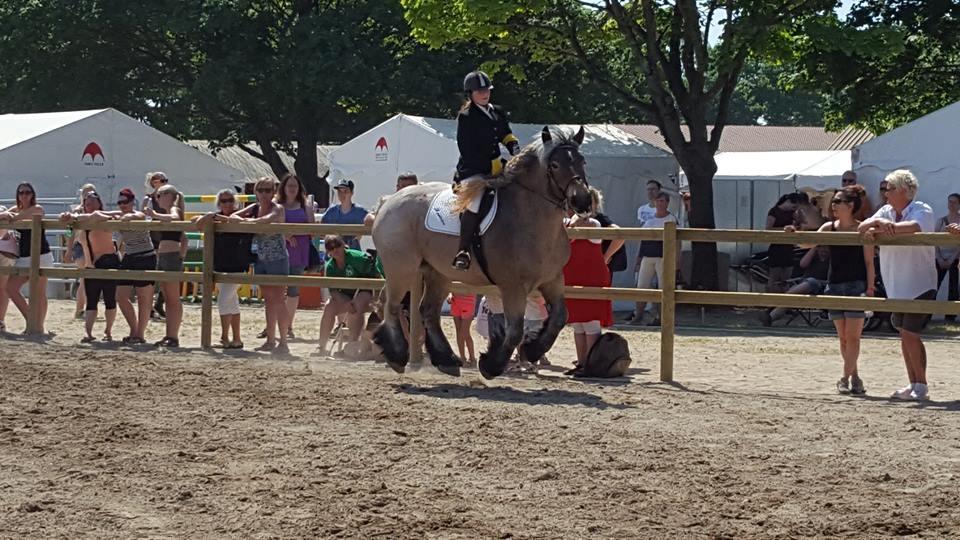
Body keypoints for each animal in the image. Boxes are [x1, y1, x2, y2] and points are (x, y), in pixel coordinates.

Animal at [370, 126, 588, 380]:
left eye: (582, 161)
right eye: (554, 165)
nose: (583, 200)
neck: (528, 218)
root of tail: (389, 200)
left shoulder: (552, 279)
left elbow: (559, 318)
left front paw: (532, 349)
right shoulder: (513, 286)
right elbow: (515, 330)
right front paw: (491, 365)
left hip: (437, 272)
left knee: (428, 311)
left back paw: (446, 360)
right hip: (401, 268)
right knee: (391, 306)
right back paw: (397, 355)